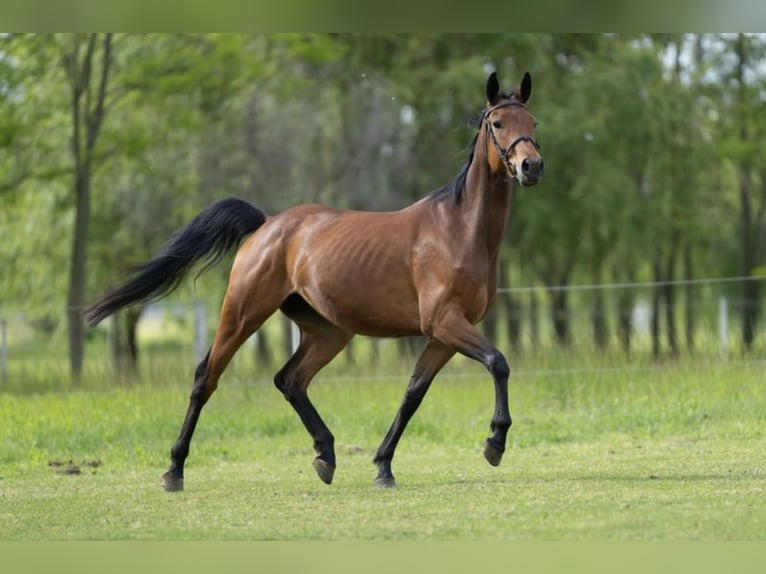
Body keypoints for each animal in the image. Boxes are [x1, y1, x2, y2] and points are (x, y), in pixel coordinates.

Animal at [86, 71, 544, 491]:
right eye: (497, 123)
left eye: (533, 122)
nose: (531, 166)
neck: (458, 230)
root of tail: (267, 223)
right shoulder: (444, 321)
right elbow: (498, 362)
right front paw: (495, 443)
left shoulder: (443, 334)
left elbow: (413, 393)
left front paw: (383, 466)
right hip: (243, 313)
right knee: (206, 378)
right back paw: (174, 470)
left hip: (328, 331)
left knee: (290, 380)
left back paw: (325, 456)